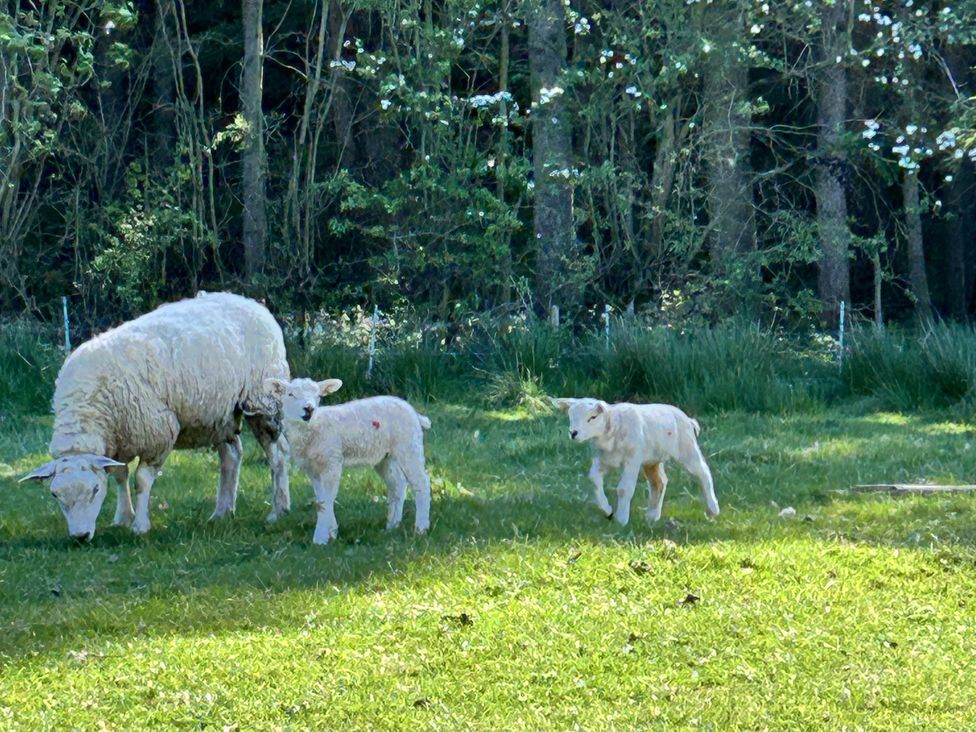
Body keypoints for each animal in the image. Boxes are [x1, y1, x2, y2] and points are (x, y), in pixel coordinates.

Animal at [20, 292, 291, 540]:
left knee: (277, 454)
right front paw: (122, 517)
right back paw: (222, 512)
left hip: (262, 402)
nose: (81, 536)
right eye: (55, 495)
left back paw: (278, 510)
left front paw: (140, 525)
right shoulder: (119, 441)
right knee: (232, 456)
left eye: (95, 490)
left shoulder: (157, 434)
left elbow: (141, 480)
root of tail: (251, 302)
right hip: (218, 415)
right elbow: (120, 476)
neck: (87, 406)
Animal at [266, 377, 432, 545]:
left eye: (318, 396)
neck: (313, 428)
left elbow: (326, 500)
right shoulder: (312, 469)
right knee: (397, 484)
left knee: (421, 483)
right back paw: (392, 526)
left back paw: (421, 528)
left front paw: (320, 539)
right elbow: (321, 500)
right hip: (384, 456)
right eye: (291, 394)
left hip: (409, 445)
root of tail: (415, 413)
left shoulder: (332, 461)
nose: (309, 409)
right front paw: (332, 532)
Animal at [552, 398, 719, 525]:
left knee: (703, 472)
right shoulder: (603, 460)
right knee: (659, 482)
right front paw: (607, 510)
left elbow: (624, 488)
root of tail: (688, 419)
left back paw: (713, 509)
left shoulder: (632, 460)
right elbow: (594, 480)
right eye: (570, 415)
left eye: (592, 417)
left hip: (687, 448)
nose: (573, 433)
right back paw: (652, 516)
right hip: (651, 460)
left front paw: (621, 519)